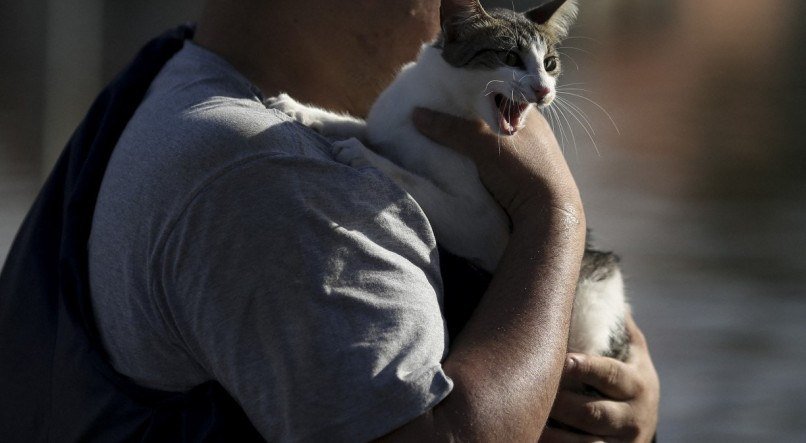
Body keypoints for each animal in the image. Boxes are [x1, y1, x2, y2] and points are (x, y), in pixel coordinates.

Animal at [266, 0, 632, 360]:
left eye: (549, 63)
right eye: (510, 58)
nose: (543, 90)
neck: (446, 102)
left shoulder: (483, 225)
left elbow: (414, 181)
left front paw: (364, 155)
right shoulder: (390, 122)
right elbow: (361, 126)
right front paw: (304, 110)